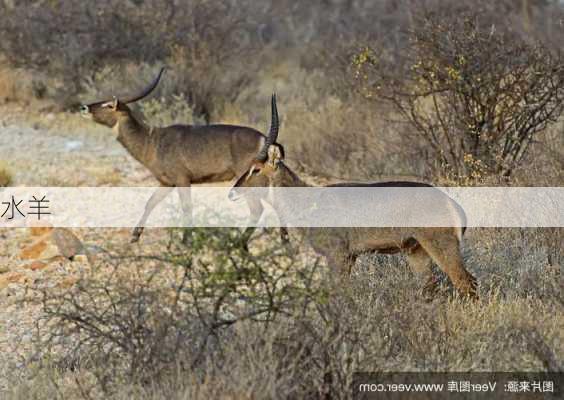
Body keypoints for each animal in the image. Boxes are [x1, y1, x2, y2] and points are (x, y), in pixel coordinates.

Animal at [79, 68, 286, 244]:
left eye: (108, 104)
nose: (84, 108)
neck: (151, 140)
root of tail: (264, 138)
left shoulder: (182, 179)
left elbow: (187, 207)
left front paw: (186, 241)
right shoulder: (166, 183)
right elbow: (150, 203)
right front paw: (135, 236)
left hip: (248, 180)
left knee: (258, 208)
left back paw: (243, 242)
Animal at [229, 95, 476, 298]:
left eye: (255, 169)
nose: (232, 191)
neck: (308, 201)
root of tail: (453, 204)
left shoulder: (337, 255)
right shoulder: (350, 257)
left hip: (440, 246)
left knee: (466, 282)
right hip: (416, 251)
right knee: (431, 286)